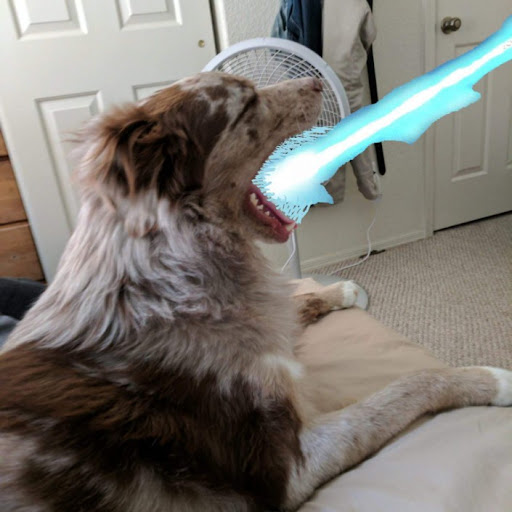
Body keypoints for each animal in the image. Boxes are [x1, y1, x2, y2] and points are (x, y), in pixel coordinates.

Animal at [0, 72, 510, 512]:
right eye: (245, 102)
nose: (317, 80)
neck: (167, 268)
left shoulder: (266, 327)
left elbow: (292, 304)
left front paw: (341, 290)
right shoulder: (290, 462)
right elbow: (409, 385)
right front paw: (489, 379)